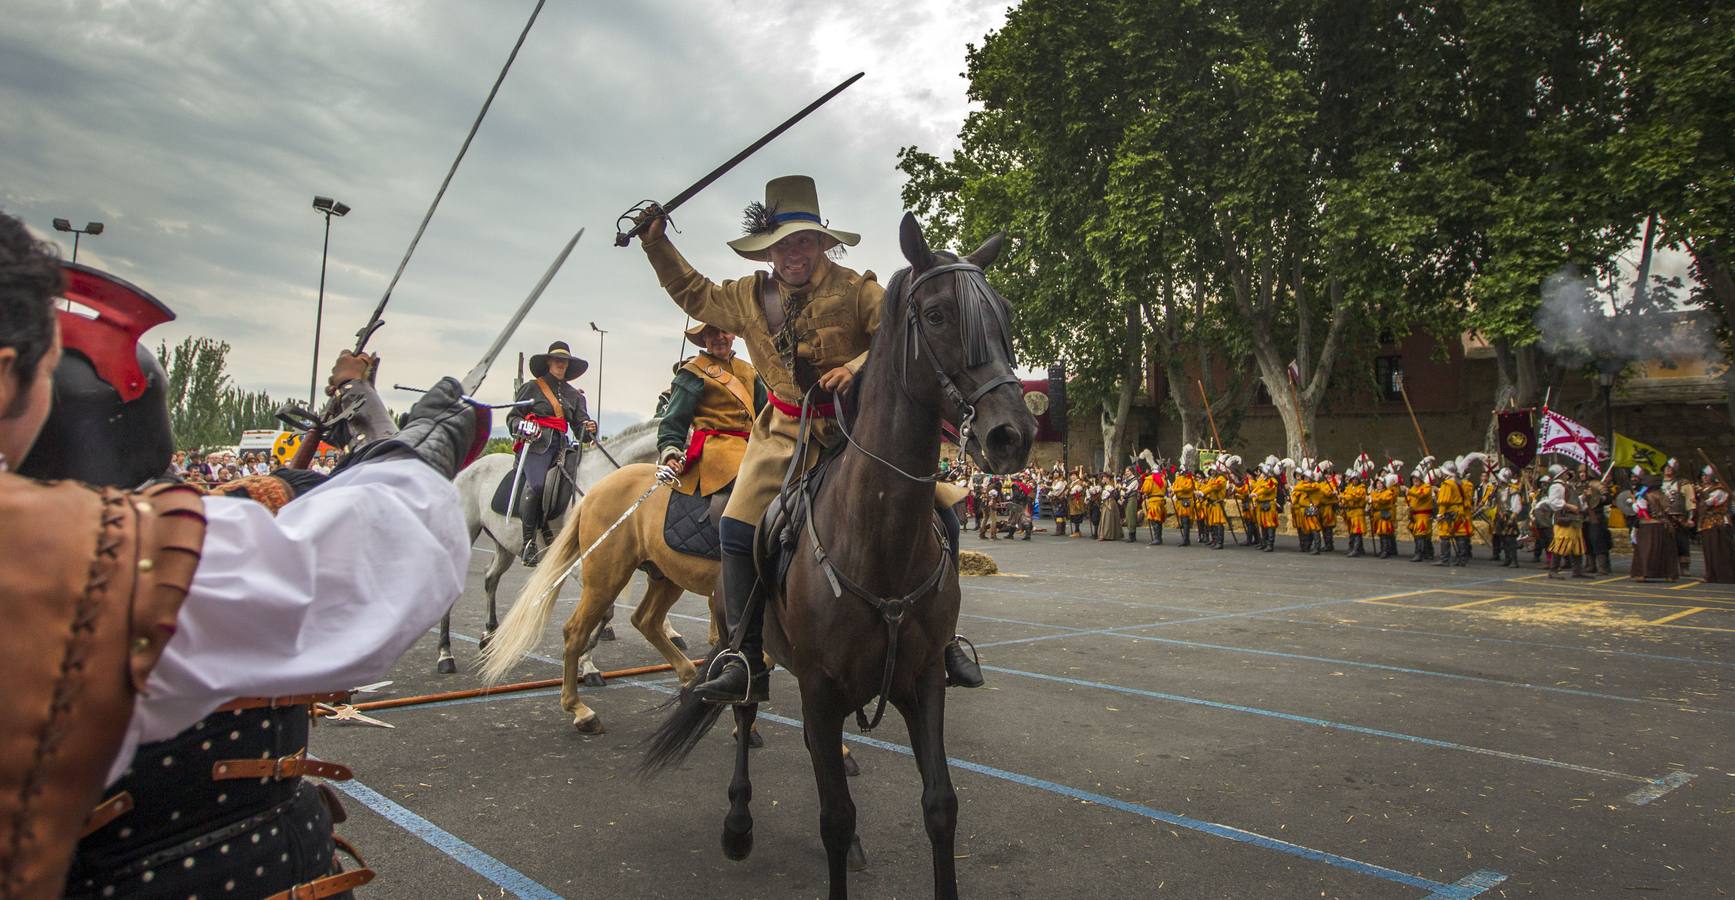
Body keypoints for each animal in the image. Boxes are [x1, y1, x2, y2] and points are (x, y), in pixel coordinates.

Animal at [440, 423, 669, 676]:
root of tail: (467, 469)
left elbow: (606, 610)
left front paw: (585, 657)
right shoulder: (582, 565)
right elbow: (604, 610)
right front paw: (586, 662)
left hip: (504, 544)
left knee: (491, 578)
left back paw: (488, 636)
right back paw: (445, 654)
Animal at [648, 213, 1027, 900]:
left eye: (1005, 312)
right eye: (937, 314)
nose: (1012, 434)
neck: (879, 538)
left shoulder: (923, 682)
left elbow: (940, 805)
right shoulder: (821, 688)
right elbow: (832, 812)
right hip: (746, 643)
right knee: (744, 707)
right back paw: (738, 823)